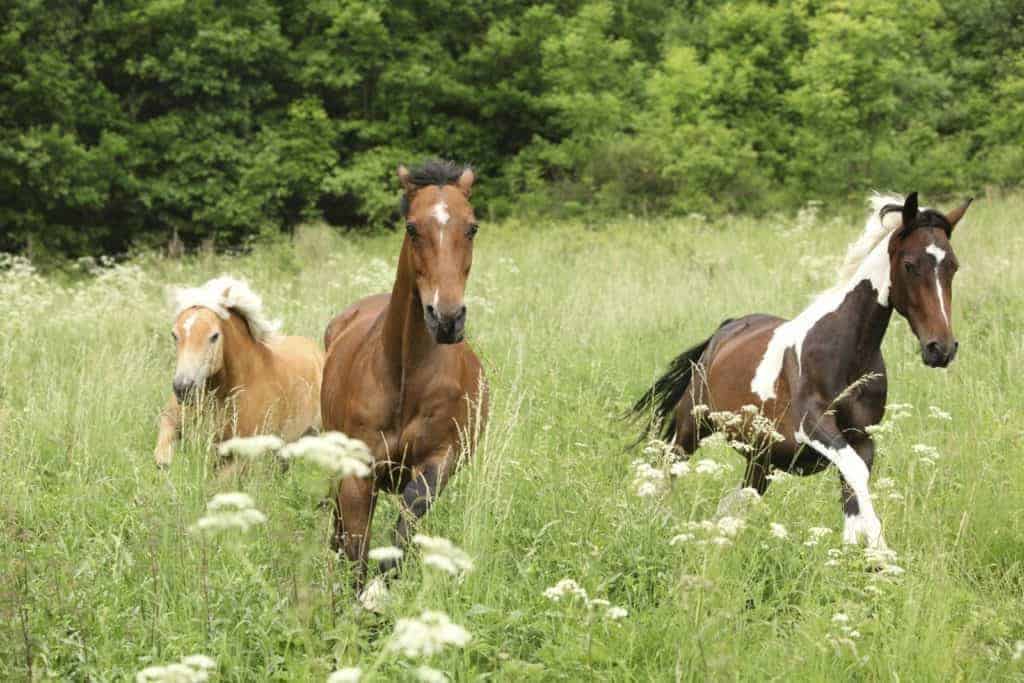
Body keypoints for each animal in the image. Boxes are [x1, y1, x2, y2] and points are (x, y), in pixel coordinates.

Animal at [154, 276, 323, 467]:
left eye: (214, 336)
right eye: (174, 335)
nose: (183, 388)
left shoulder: (242, 457)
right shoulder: (171, 420)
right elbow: (162, 454)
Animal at [321, 160, 488, 597]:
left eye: (472, 227)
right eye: (412, 227)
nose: (446, 318)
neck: (405, 379)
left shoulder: (439, 462)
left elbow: (402, 531)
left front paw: (379, 594)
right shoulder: (357, 470)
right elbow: (356, 550)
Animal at [631, 193, 972, 550]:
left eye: (953, 266)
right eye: (909, 265)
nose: (941, 348)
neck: (847, 355)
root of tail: (723, 332)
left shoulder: (862, 439)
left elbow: (853, 494)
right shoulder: (813, 426)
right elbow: (855, 475)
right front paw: (881, 549)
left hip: (760, 461)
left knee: (734, 503)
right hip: (691, 428)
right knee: (666, 472)